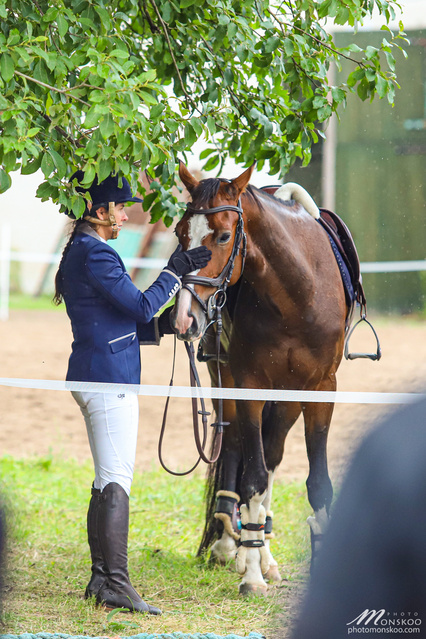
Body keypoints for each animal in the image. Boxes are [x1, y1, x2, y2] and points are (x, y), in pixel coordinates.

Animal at [171, 161, 348, 596]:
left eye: (223, 235)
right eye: (181, 233)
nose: (184, 319)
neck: (298, 293)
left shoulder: (322, 388)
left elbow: (313, 481)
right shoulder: (247, 384)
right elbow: (251, 476)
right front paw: (249, 572)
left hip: (287, 396)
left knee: (272, 455)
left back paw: (263, 550)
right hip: (225, 380)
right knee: (238, 448)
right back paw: (230, 546)